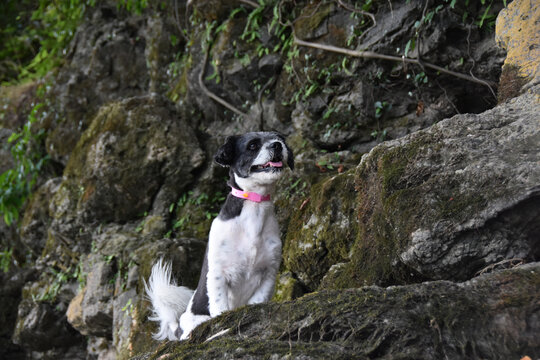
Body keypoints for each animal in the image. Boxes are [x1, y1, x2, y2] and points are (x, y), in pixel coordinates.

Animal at [146, 132, 294, 340]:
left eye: (280, 138)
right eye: (252, 145)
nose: (277, 145)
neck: (254, 207)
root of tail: (179, 329)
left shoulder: (269, 273)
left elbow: (257, 300)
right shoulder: (218, 273)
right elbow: (219, 306)